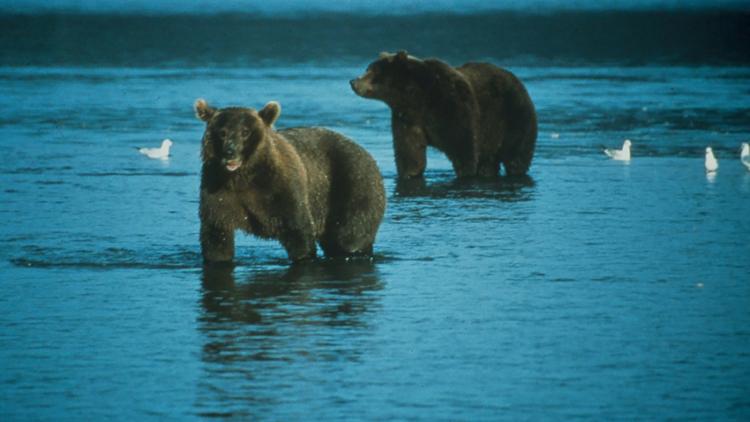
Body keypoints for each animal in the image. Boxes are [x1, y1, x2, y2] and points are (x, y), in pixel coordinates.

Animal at [197, 99, 388, 264]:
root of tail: (363, 149)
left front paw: (304, 256)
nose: (230, 152)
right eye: (222, 132)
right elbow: (216, 238)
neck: (244, 177)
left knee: (350, 236)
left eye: (245, 132)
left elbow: (299, 232)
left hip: (354, 184)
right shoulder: (218, 192)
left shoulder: (282, 191)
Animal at [350, 52, 536, 179]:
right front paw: (409, 173)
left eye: (372, 70)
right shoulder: (408, 119)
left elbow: (463, 148)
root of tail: (518, 81)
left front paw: (466, 173)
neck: (417, 97)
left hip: (514, 117)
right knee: (489, 160)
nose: (353, 81)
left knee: (516, 155)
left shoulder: (452, 107)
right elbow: (410, 153)